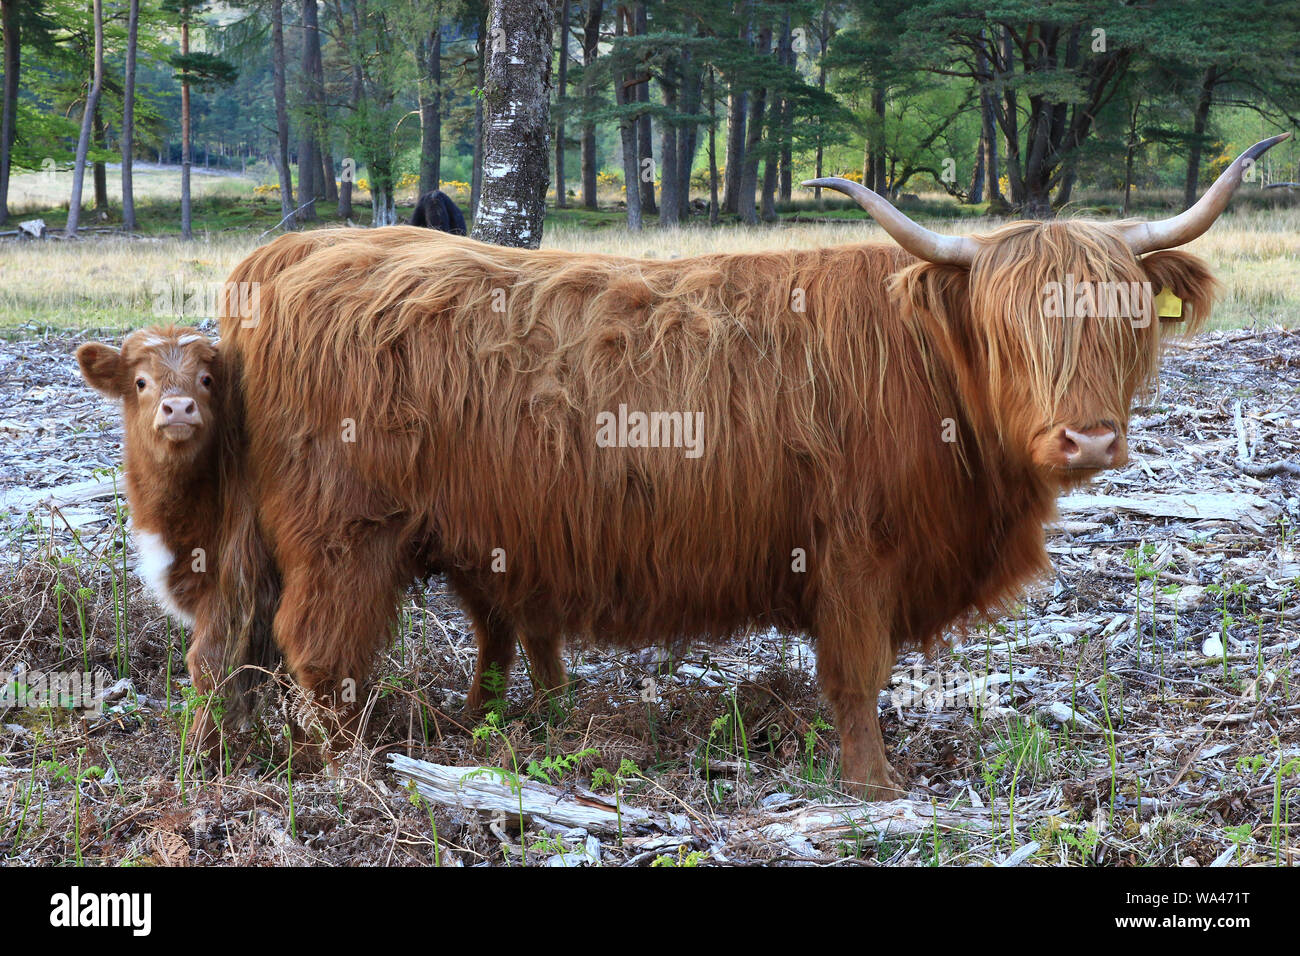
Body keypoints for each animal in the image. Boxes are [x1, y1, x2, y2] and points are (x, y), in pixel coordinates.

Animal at [77, 134, 1286, 799]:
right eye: (1009, 325)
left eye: (1123, 320)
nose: (1087, 438)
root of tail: (289, 254)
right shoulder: (854, 549)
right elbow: (855, 676)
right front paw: (873, 787)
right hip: (346, 536)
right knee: (310, 655)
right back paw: (355, 778)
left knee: (228, 641)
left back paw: (233, 760)